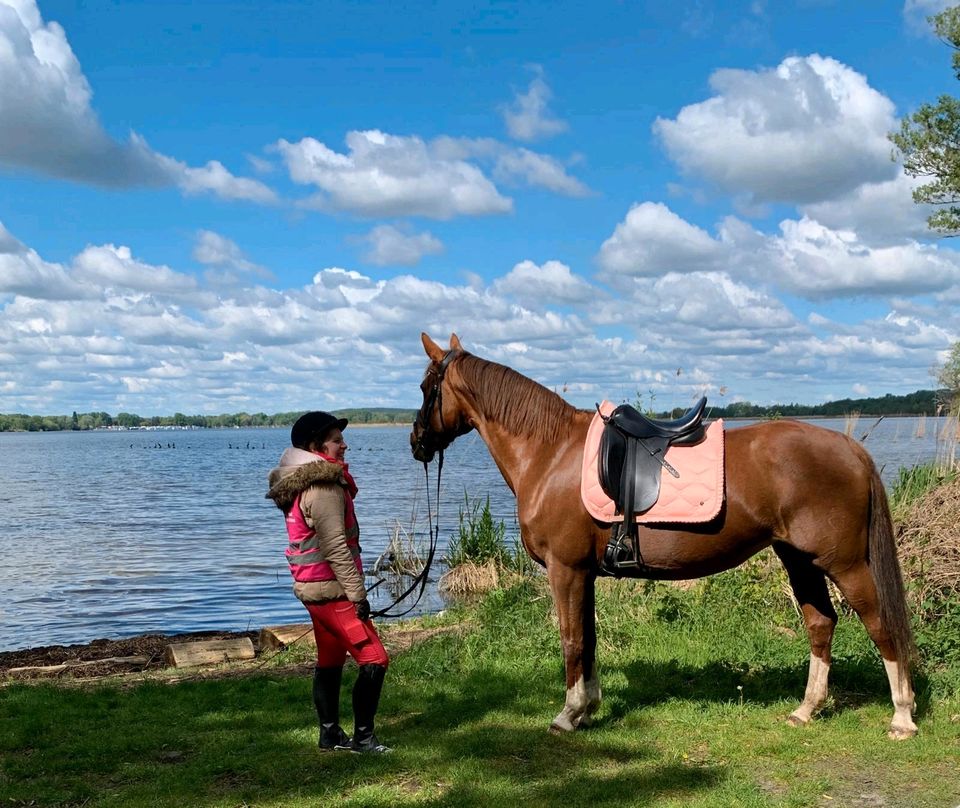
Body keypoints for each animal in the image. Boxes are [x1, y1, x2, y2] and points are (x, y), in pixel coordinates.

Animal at [408, 332, 920, 736]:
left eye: (425, 387)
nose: (415, 442)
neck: (550, 453)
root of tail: (849, 447)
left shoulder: (565, 569)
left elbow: (571, 638)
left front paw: (568, 715)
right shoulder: (585, 573)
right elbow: (589, 638)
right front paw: (589, 708)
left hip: (844, 563)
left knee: (880, 624)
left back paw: (902, 717)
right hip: (798, 558)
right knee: (821, 624)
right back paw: (806, 709)